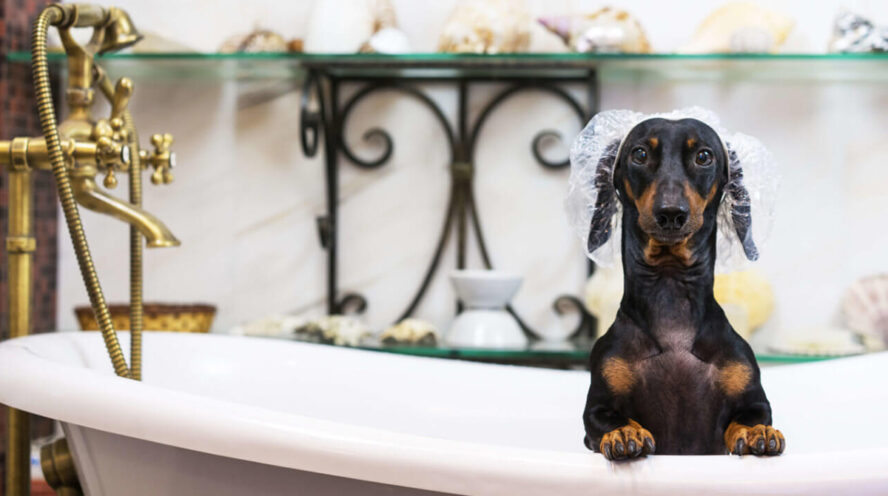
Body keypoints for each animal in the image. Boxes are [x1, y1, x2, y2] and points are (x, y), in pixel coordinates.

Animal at [584, 118, 784, 460]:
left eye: (704, 156)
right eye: (639, 154)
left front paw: (756, 432)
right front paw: (624, 432)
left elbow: (750, 416)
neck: (670, 287)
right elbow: (606, 420)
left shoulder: (754, 400)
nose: (671, 213)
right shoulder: (596, 408)